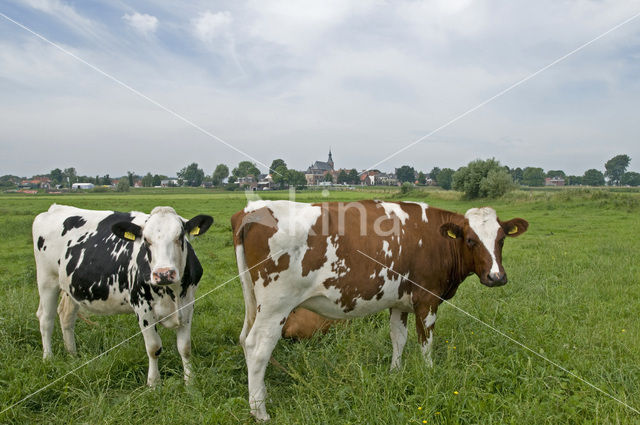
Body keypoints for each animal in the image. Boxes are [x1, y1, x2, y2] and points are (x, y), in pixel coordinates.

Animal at [33, 204, 212, 386]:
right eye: (146, 240)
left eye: (180, 236)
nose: (163, 274)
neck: (173, 293)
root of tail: (55, 208)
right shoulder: (142, 307)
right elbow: (153, 348)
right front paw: (154, 383)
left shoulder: (188, 304)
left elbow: (185, 347)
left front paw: (190, 382)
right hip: (47, 281)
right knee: (46, 319)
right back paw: (48, 359)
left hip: (71, 287)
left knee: (66, 316)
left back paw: (72, 354)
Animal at [232, 200, 528, 420]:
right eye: (470, 240)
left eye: (501, 240)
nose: (496, 277)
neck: (434, 238)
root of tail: (251, 210)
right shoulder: (427, 299)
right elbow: (426, 342)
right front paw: (429, 373)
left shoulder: (399, 302)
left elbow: (399, 338)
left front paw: (395, 373)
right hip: (276, 306)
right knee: (258, 347)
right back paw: (260, 411)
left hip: (255, 303)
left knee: (245, 340)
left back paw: (261, 396)